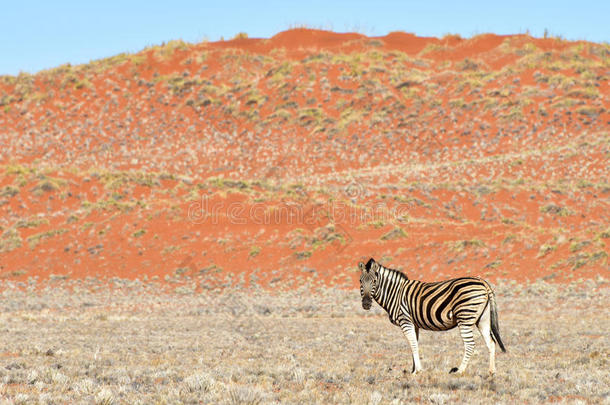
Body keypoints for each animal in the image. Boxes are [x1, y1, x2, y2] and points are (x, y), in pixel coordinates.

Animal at [356, 258, 504, 374]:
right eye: (360, 281)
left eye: (374, 281)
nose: (366, 304)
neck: (395, 293)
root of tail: (483, 282)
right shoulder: (413, 323)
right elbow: (414, 344)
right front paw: (414, 369)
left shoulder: (405, 321)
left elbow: (413, 344)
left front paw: (417, 371)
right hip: (482, 319)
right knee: (491, 342)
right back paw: (491, 371)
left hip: (465, 317)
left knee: (470, 344)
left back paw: (460, 370)